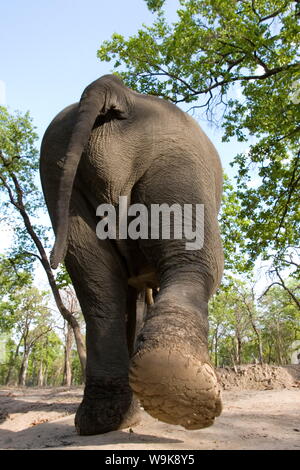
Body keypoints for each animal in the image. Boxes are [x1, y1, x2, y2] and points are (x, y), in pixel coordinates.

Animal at [39, 74, 223, 436]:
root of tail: (114, 89)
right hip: (176, 156)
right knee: (198, 259)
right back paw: (176, 388)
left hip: (58, 175)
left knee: (96, 286)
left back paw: (108, 418)